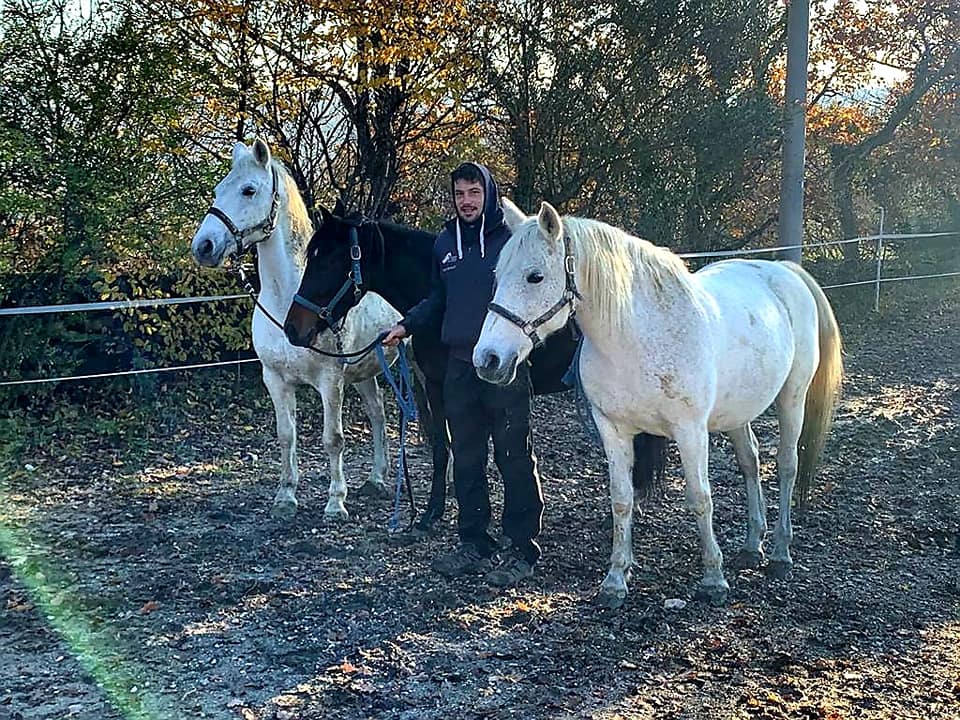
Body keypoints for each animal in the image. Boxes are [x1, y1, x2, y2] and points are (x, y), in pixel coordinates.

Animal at [191, 139, 403, 522]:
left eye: (249, 190)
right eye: (218, 189)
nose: (204, 246)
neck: (286, 299)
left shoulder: (330, 381)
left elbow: (333, 439)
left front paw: (335, 502)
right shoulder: (275, 379)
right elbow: (286, 436)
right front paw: (286, 497)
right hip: (364, 372)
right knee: (377, 414)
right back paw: (377, 479)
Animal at [282, 207, 669, 530]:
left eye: (328, 261)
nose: (292, 329)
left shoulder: (447, 387)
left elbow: (452, 447)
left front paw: (432, 512)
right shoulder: (437, 386)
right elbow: (449, 445)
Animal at [474, 199, 843, 608]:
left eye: (534, 276)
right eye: (497, 274)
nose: (488, 359)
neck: (635, 337)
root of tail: (783, 271)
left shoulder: (690, 431)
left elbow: (700, 498)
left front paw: (713, 579)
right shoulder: (613, 430)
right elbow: (621, 500)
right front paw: (615, 580)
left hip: (792, 398)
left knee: (787, 465)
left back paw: (779, 553)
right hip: (737, 412)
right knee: (750, 462)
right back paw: (751, 547)